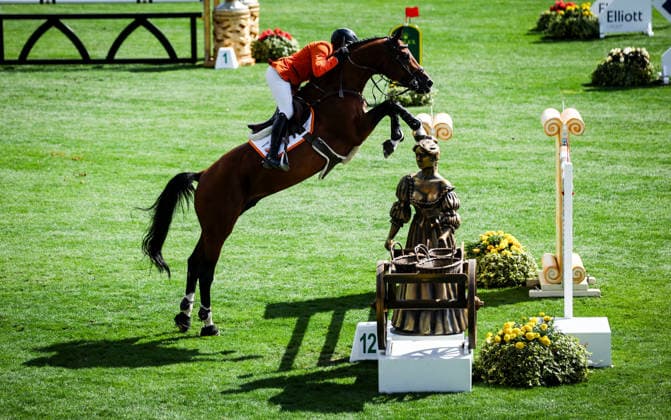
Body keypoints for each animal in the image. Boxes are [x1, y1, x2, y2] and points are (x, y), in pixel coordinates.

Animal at [142, 32, 433, 336]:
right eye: (403, 54)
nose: (427, 82)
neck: (340, 89)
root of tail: (204, 174)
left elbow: (390, 106)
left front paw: (398, 136)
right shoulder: (353, 131)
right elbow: (390, 105)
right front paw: (410, 129)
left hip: (213, 225)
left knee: (194, 261)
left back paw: (184, 315)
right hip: (220, 225)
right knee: (207, 268)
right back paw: (208, 322)